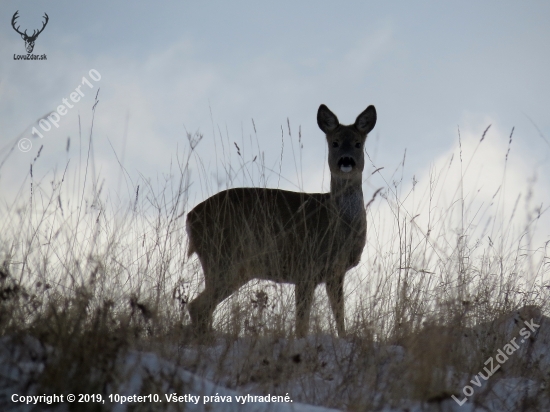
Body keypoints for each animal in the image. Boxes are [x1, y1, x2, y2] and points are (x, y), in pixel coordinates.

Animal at [188, 104, 378, 336]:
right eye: (335, 142)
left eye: (358, 143)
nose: (346, 161)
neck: (338, 222)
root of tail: (190, 218)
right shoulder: (306, 266)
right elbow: (301, 323)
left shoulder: (334, 272)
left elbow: (339, 317)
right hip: (222, 258)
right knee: (197, 306)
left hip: (234, 266)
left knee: (201, 306)